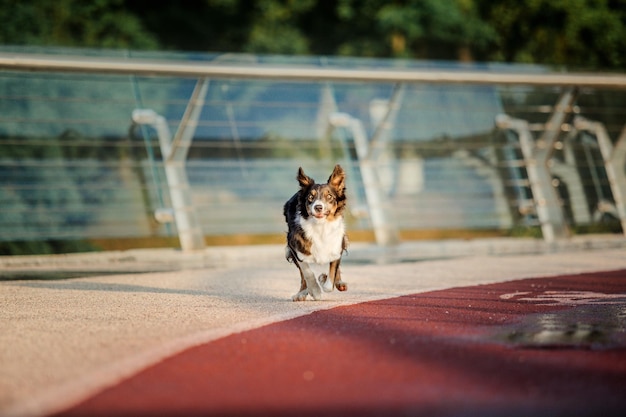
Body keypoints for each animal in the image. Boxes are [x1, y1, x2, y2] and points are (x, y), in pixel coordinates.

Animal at [282, 164, 346, 300]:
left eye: (329, 196)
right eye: (310, 197)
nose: (318, 207)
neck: (320, 227)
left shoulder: (337, 244)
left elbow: (330, 281)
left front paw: (323, 278)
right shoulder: (294, 245)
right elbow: (306, 271)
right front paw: (315, 291)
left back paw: (339, 283)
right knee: (302, 275)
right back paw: (302, 293)